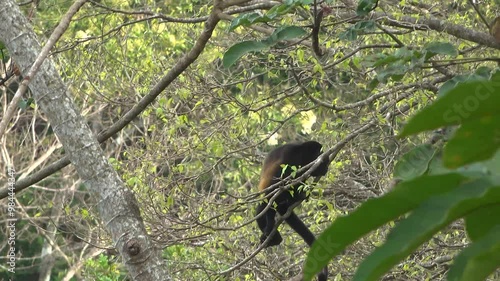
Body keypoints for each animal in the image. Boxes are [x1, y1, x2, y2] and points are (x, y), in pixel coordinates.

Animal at [256, 140, 330, 280]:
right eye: (325, 162)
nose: (327, 168)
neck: (301, 154)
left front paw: (303, 193)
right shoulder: (290, 158)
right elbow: (274, 187)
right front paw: (269, 226)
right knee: (261, 208)